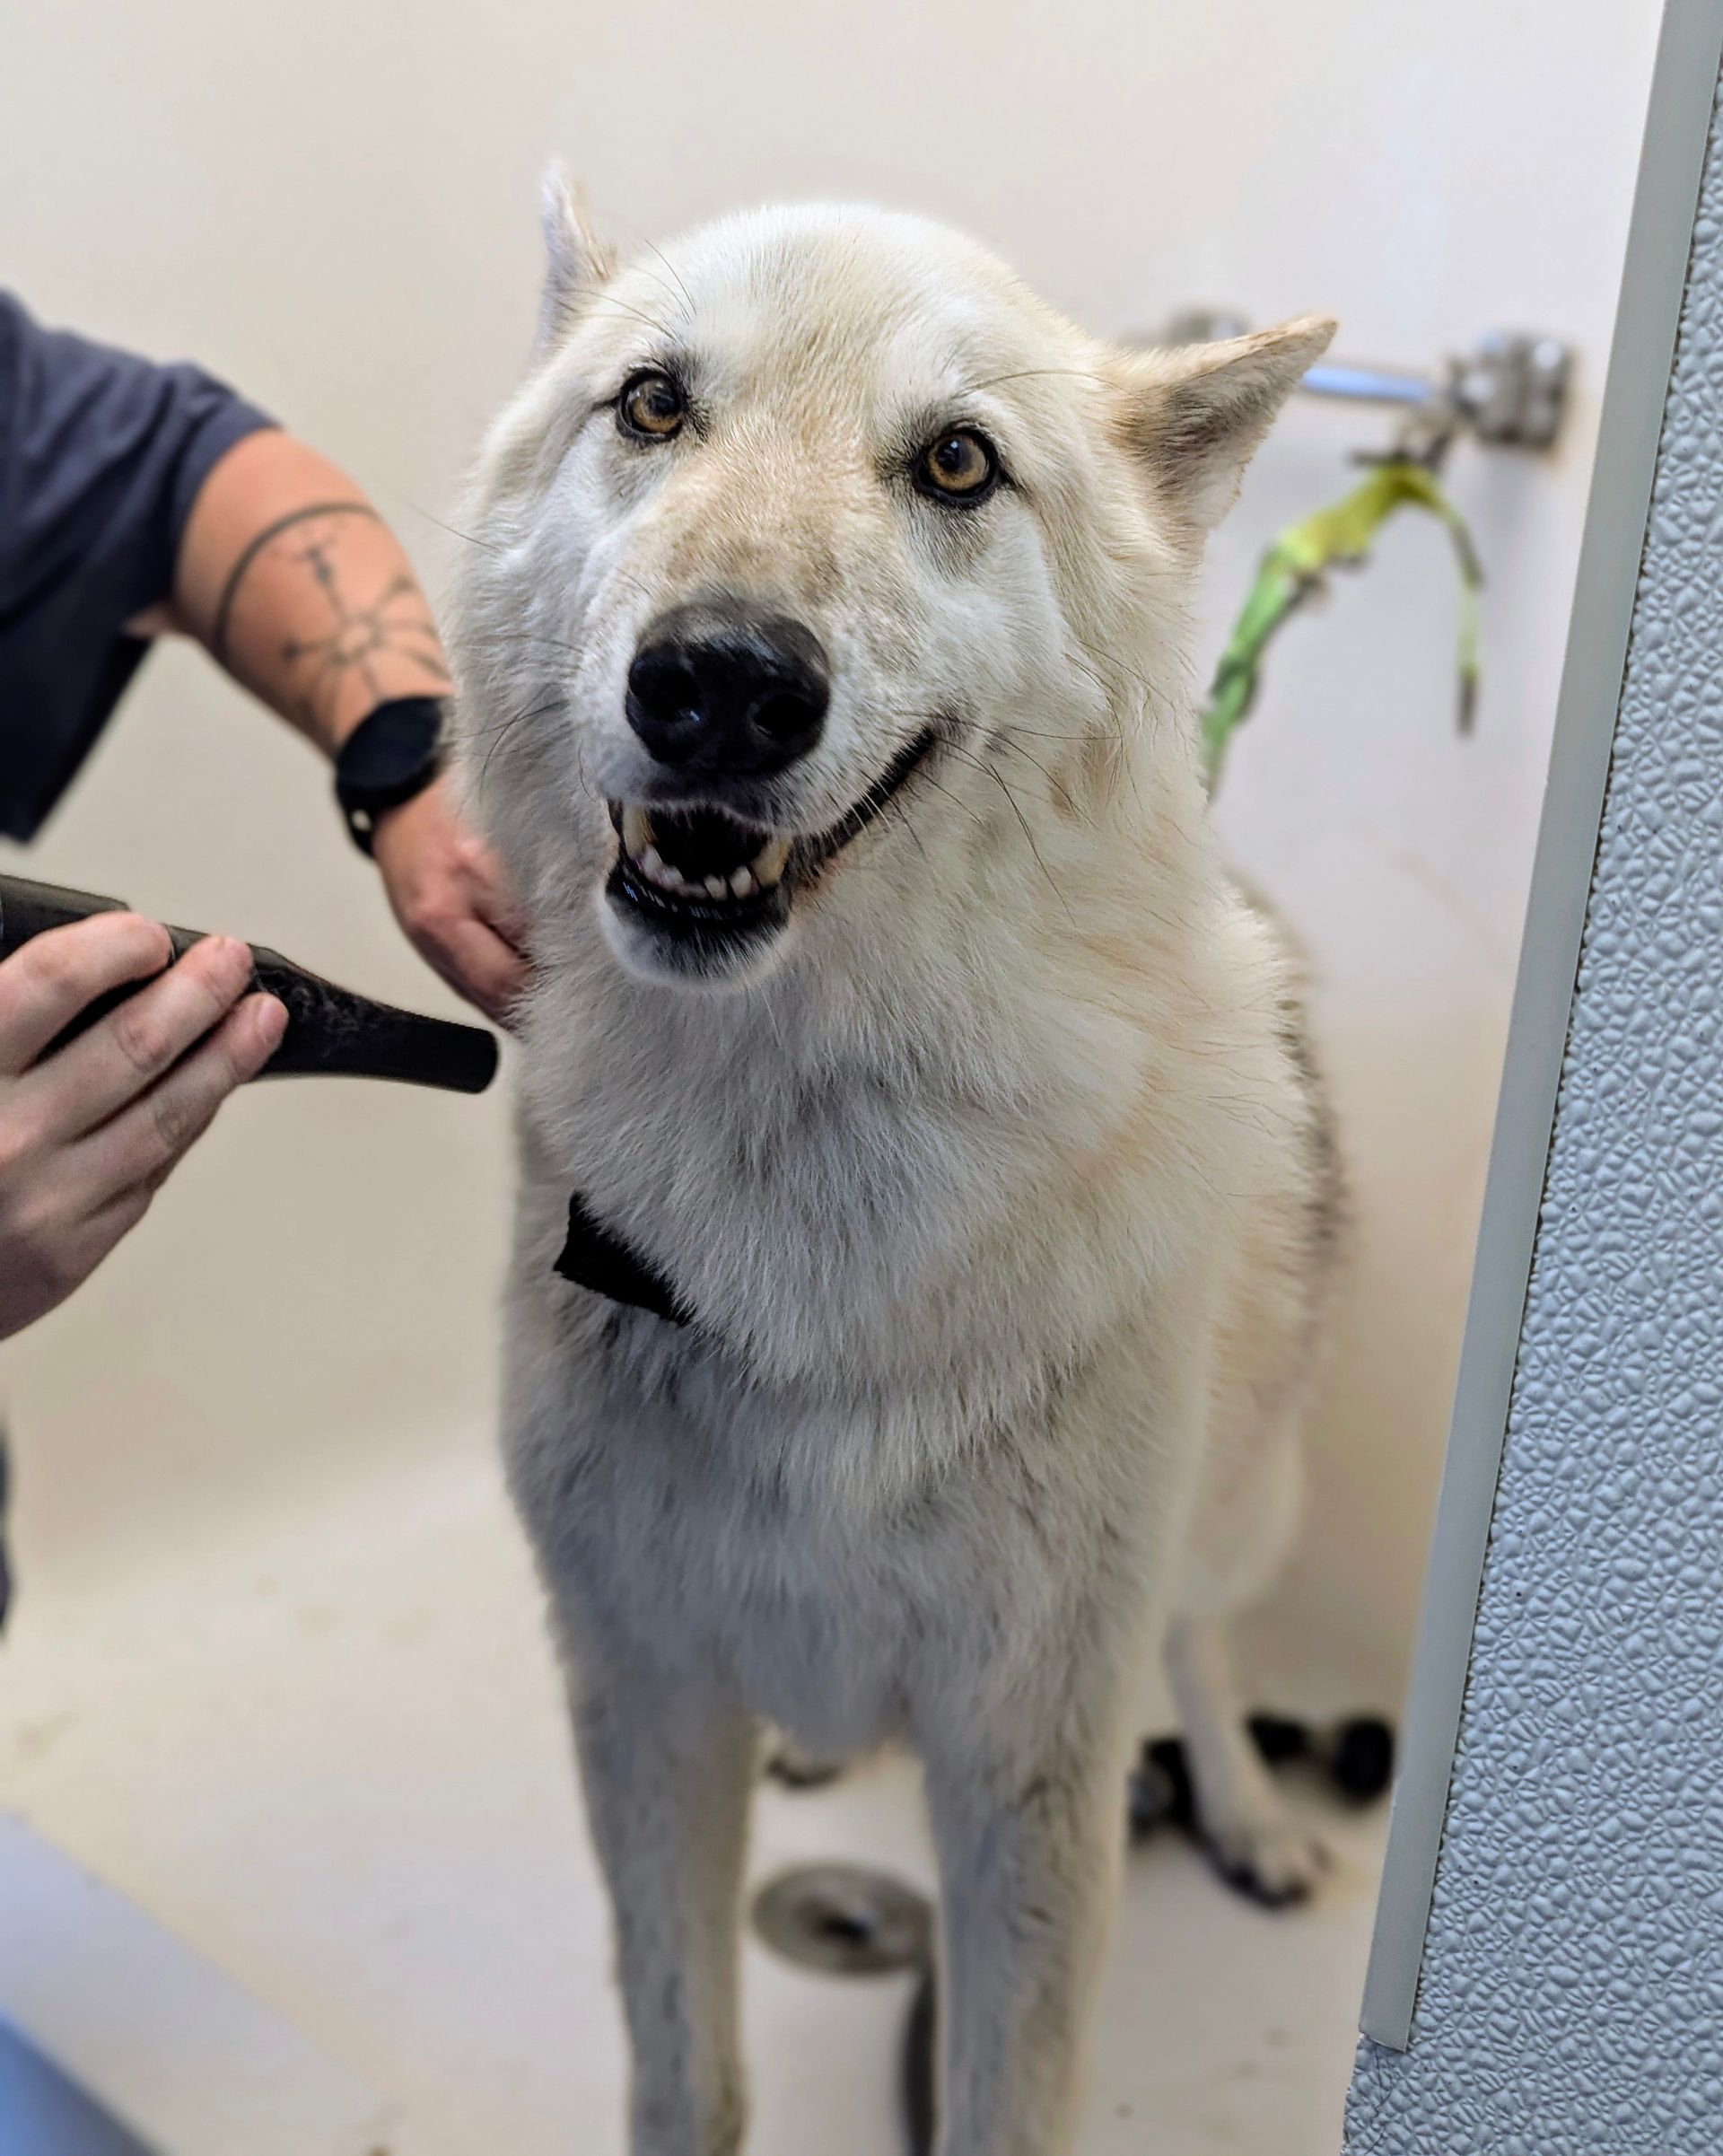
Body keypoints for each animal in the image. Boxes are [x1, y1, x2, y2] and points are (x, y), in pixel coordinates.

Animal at [450, 172, 1336, 2156]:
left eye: (953, 462)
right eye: (654, 404)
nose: (718, 687)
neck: (805, 1180)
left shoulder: (1026, 1760)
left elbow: (1011, 2098)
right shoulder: (642, 1695)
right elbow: (682, 2074)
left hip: (1234, 1518)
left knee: (1209, 1648)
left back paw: (1251, 1817)